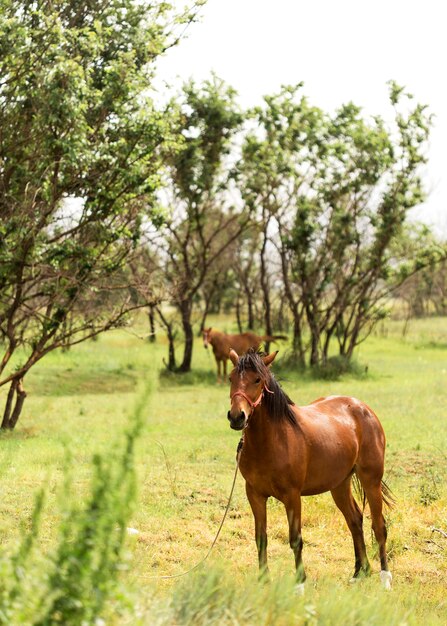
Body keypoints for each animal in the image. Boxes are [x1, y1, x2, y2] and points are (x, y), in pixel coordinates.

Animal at [228, 348, 392, 588]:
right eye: (231, 378)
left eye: (257, 379)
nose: (236, 417)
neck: (272, 441)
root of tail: (363, 408)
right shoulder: (255, 494)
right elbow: (261, 538)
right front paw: (264, 581)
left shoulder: (292, 496)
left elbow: (296, 539)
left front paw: (300, 583)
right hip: (339, 485)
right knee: (355, 519)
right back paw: (359, 572)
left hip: (371, 480)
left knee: (379, 526)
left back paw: (385, 579)